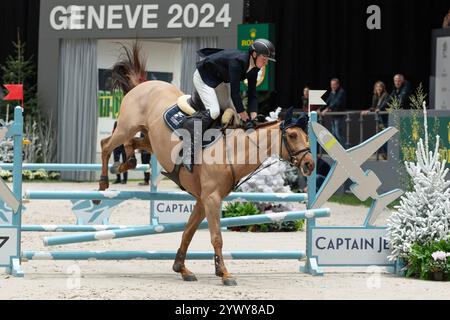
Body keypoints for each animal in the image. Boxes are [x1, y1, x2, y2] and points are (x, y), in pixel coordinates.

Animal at [97, 44, 316, 284]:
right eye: (293, 135)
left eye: (306, 136)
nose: (310, 164)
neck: (232, 151)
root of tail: (144, 84)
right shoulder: (211, 198)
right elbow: (216, 237)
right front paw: (225, 273)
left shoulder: (203, 199)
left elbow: (189, 232)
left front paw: (182, 268)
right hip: (126, 126)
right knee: (106, 144)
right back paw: (103, 184)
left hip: (149, 138)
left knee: (132, 144)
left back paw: (125, 163)